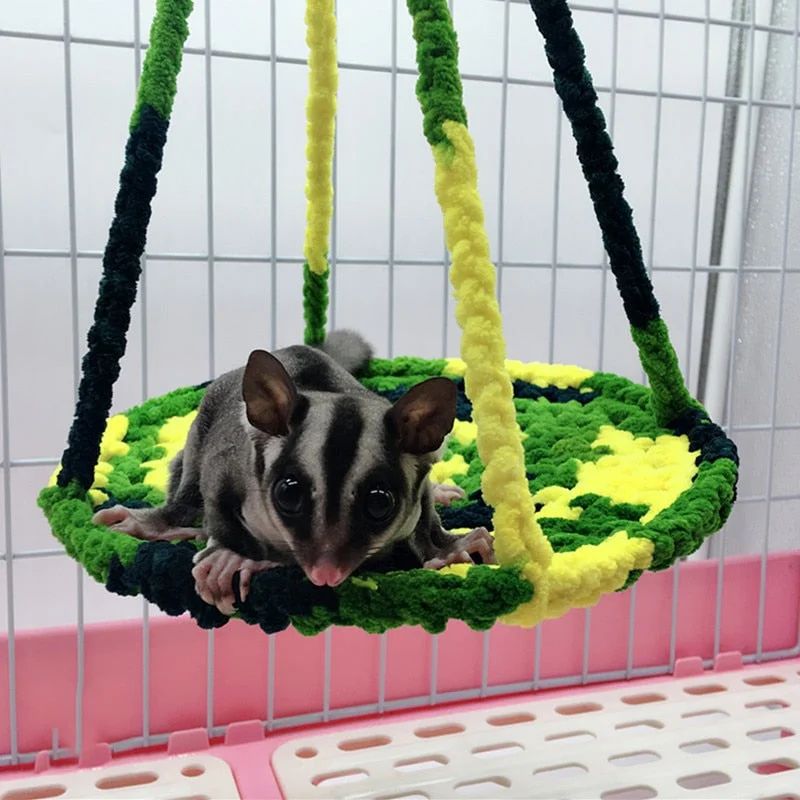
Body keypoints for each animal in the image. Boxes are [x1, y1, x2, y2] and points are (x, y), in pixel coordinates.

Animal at [92, 330, 495, 614]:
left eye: (380, 503)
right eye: (289, 494)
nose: (325, 574)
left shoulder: (414, 496)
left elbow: (424, 514)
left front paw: (447, 549)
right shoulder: (230, 466)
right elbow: (215, 493)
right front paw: (232, 557)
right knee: (190, 477)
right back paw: (162, 521)